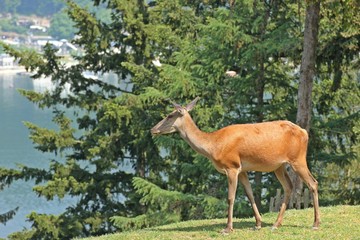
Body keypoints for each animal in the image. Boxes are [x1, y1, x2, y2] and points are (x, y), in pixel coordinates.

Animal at [150, 96, 320, 233]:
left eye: (170, 115)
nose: (152, 129)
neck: (213, 145)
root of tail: (305, 132)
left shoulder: (231, 166)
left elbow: (230, 198)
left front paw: (227, 228)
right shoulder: (242, 169)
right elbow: (250, 194)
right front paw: (258, 224)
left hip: (298, 159)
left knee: (313, 183)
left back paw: (316, 224)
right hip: (279, 166)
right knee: (289, 186)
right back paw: (275, 224)